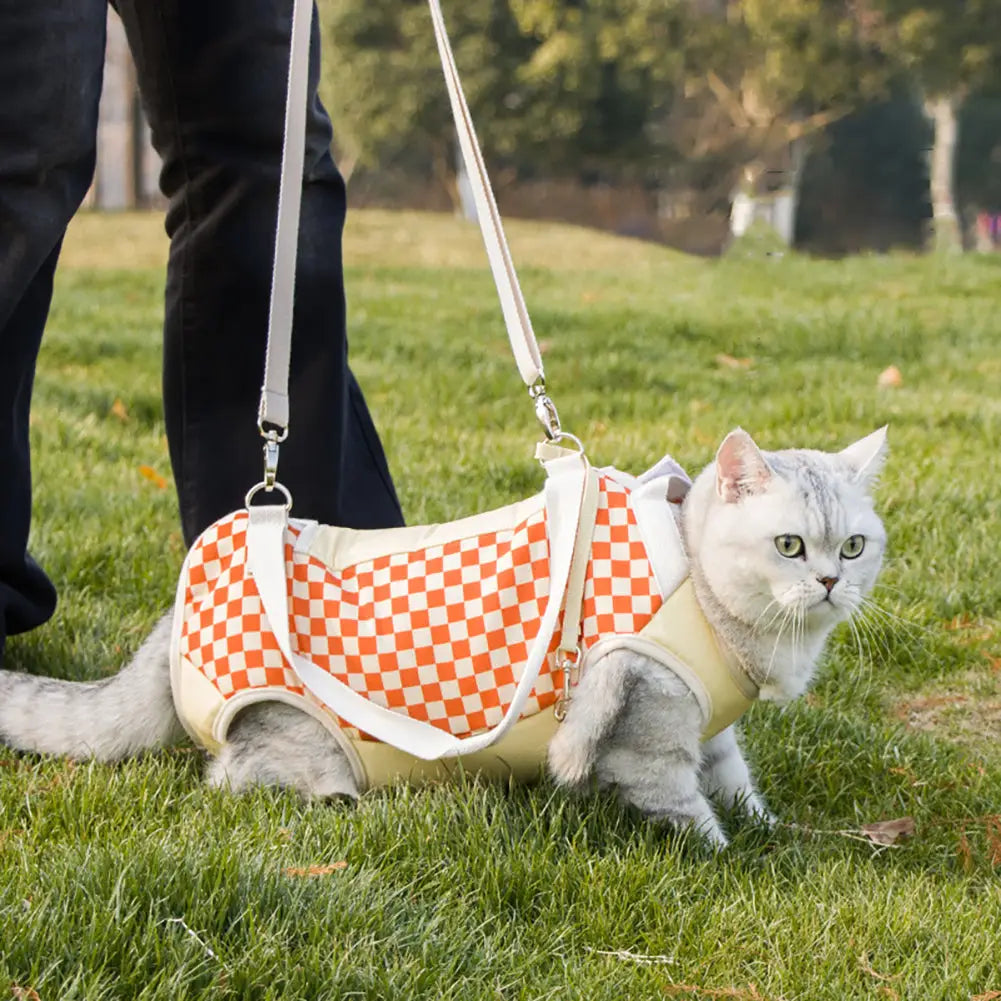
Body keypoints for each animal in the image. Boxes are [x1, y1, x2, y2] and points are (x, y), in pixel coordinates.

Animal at [3, 426, 888, 848]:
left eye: (852, 546)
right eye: (788, 545)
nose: (828, 583)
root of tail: (172, 619)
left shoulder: (712, 730)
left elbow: (736, 781)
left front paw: (766, 828)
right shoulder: (650, 733)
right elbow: (685, 806)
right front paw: (727, 852)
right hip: (296, 734)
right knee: (230, 774)